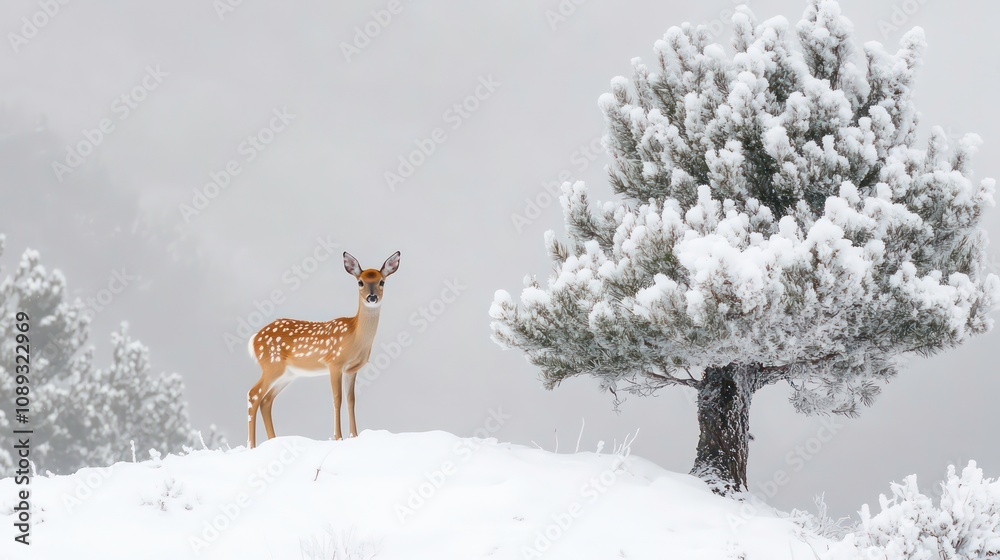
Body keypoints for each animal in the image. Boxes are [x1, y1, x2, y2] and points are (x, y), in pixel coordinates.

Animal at [246, 250, 400, 449]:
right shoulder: (334, 362)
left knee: (266, 400)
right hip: (271, 365)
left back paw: (273, 442)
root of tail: (254, 338)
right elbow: (337, 399)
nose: (372, 297)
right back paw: (251, 446)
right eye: (360, 282)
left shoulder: (352, 369)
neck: (354, 336)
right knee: (253, 394)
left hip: (287, 374)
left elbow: (351, 400)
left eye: (382, 281)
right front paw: (338, 437)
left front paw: (354, 436)